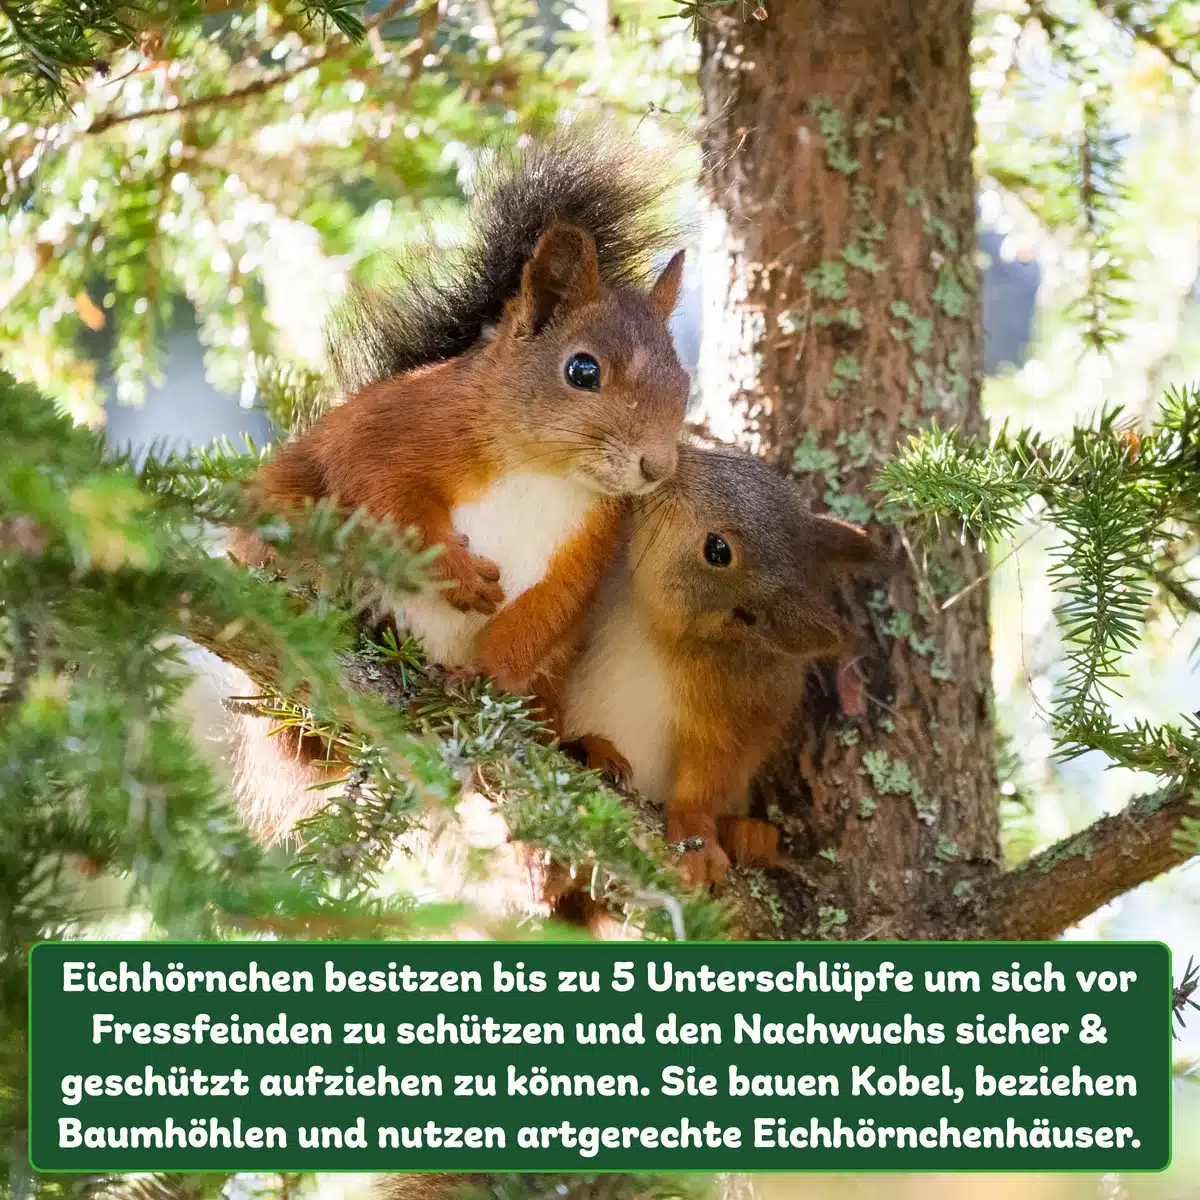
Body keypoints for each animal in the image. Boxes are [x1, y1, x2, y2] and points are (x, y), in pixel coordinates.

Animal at [229, 131, 690, 838]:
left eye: (684, 380)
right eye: (582, 370)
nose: (657, 467)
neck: (545, 474)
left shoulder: (592, 542)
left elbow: (547, 609)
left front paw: (489, 678)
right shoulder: (395, 430)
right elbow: (385, 493)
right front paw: (455, 572)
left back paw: (577, 745)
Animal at [557, 442, 881, 888]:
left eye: (718, 551)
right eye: (745, 461)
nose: (671, 459)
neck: (652, 622)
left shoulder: (742, 708)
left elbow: (709, 780)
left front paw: (696, 838)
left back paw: (749, 834)